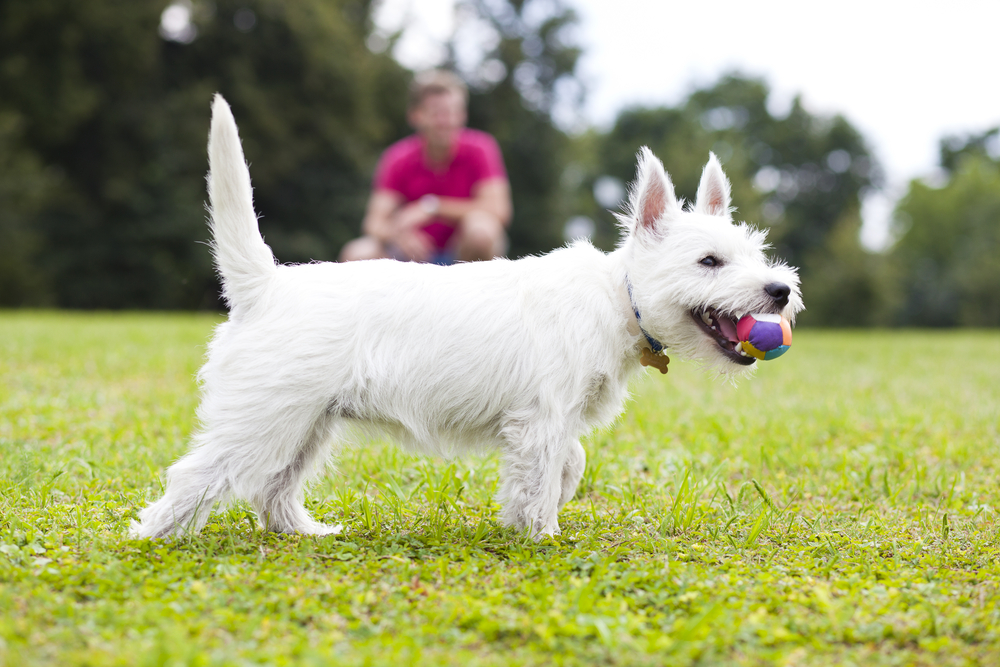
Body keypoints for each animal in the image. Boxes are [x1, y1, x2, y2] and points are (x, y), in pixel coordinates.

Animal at [133, 94, 804, 540]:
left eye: (756, 253)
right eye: (709, 261)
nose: (779, 291)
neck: (616, 297)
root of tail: (265, 286)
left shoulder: (549, 419)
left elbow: (571, 460)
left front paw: (539, 512)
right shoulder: (541, 416)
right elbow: (544, 473)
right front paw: (541, 535)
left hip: (306, 423)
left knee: (272, 485)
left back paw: (305, 531)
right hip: (263, 416)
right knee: (195, 475)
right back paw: (152, 539)